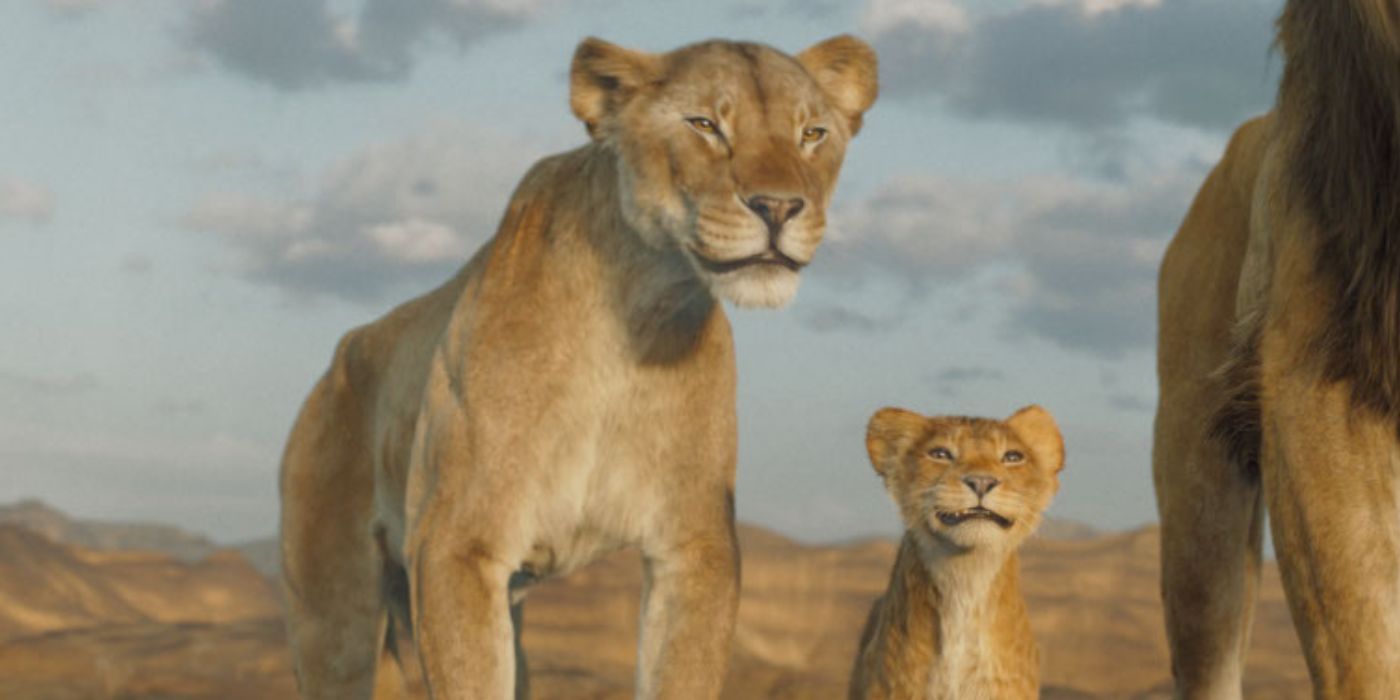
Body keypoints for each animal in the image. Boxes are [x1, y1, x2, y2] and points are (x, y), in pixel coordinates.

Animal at [277, 36, 877, 698]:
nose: (780, 206)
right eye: (705, 125)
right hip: (335, 618)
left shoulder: (696, 544)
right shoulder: (456, 544)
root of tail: (339, 358)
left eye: (812, 134)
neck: (634, 315)